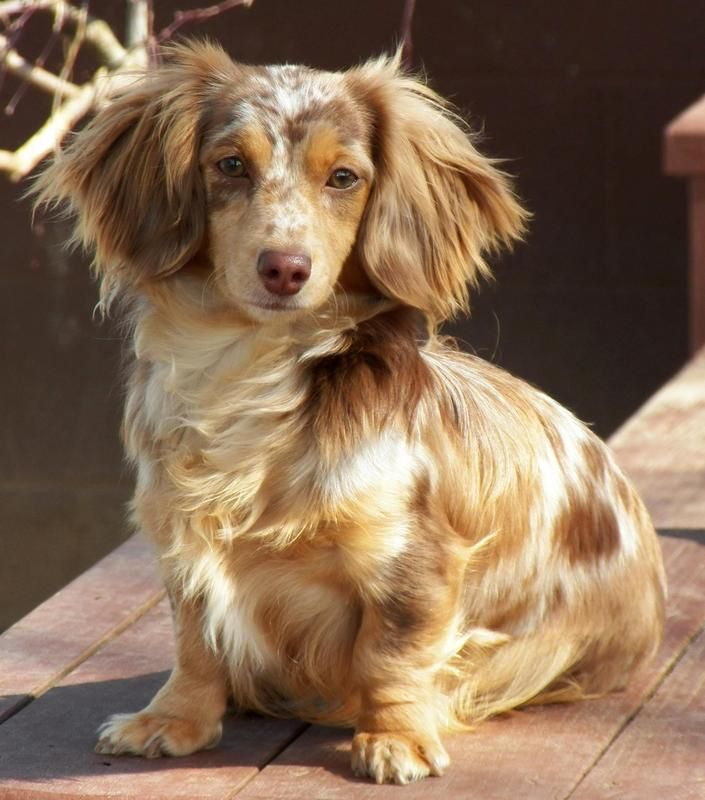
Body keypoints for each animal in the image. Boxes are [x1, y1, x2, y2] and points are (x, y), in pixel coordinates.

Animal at [38, 40, 664, 784]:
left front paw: (394, 737)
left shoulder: (407, 555)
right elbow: (194, 641)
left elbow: (390, 653)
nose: (285, 268)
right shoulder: (180, 535)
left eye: (343, 177)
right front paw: (172, 720)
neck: (250, 370)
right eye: (230, 165)